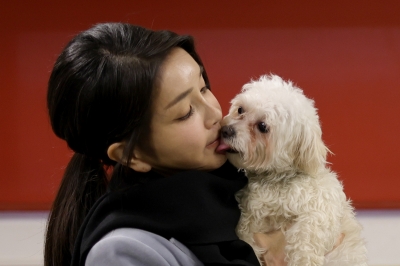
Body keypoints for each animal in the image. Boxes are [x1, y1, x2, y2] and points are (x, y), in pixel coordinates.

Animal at [219, 75, 368, 266]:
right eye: (240, 109)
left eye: (262, 126)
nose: (226, 130)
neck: (274, 181)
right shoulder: (248, 221)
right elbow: (248, 241)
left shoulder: (320, 210)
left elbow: (305, 237)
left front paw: (303, 259)